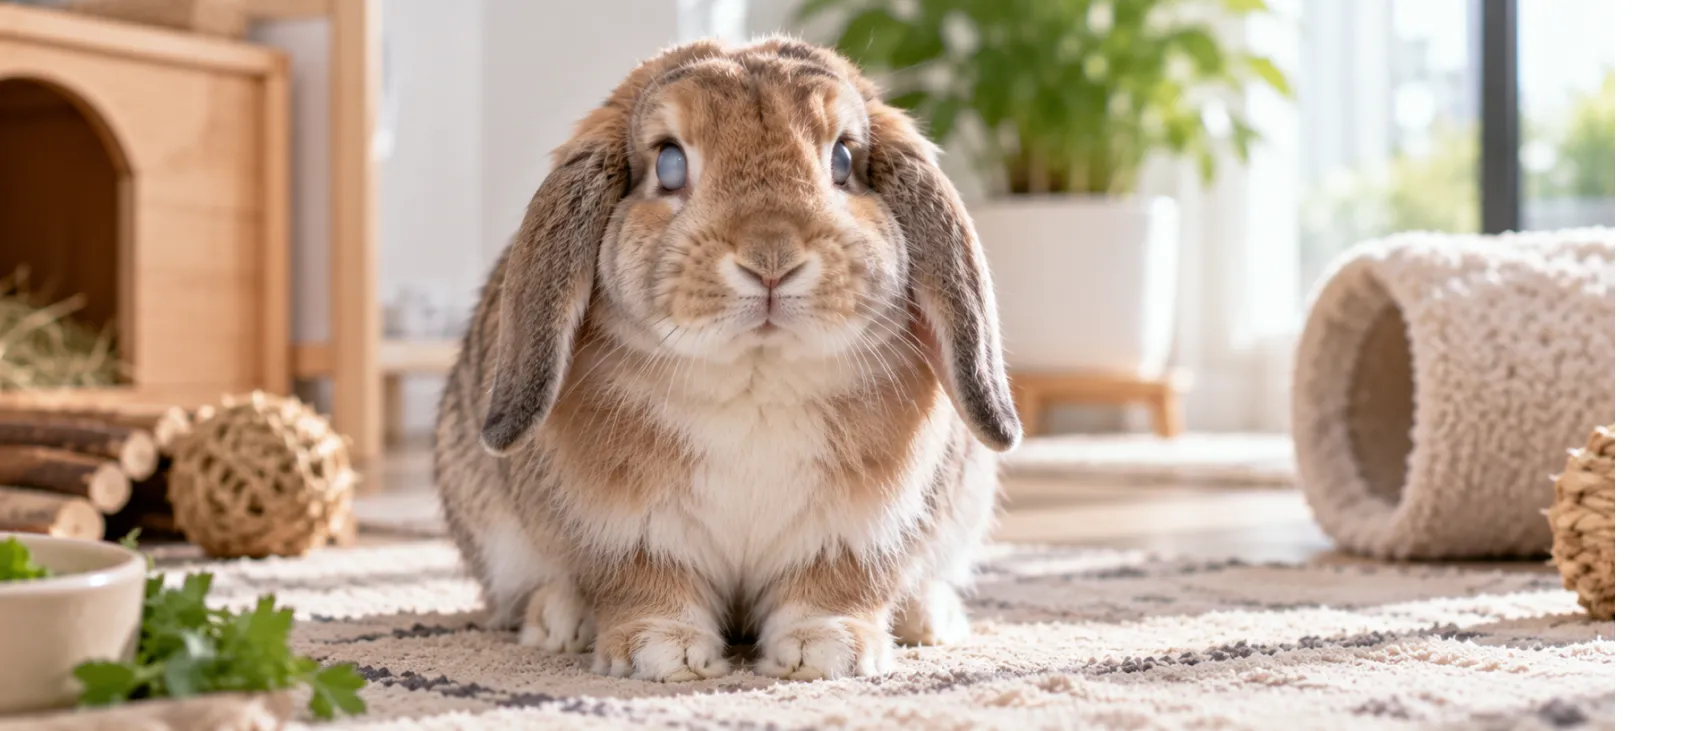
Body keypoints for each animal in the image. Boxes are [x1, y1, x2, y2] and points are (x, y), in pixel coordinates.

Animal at [433, 36, 1021, 683]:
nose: (771, 258)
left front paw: (827, 651)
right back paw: (558, 622)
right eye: (669, 163)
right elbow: (642, 584)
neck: (754, 379)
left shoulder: (857, 531)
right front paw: (662, 653)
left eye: (843, 160)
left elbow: (836, 585)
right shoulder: (627, 531)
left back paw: (928, 617)